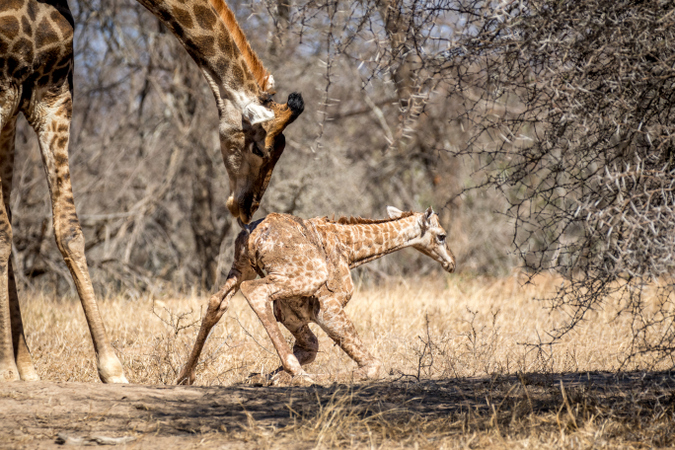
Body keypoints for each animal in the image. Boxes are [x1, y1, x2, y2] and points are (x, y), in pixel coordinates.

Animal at [0, 0, 304, 384]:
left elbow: (67, 230)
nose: (247, 207)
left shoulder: (49, 94)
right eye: (260, 149)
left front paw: (107, 368)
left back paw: (27, 369)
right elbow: (8, 231)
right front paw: (7, 370)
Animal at [177, 206, 456, 384]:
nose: (451, 263)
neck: (350, 249)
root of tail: (254, 236)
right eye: (442, 236)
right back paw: (302, 377)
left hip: (241, 267)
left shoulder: (291, 312)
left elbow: (310, 348)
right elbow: (372, 366)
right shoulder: (327, 305)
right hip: (306, 275)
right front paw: (287, 377)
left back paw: (185, 376)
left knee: (217, 301)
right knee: (253, 291)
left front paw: (265, 377)